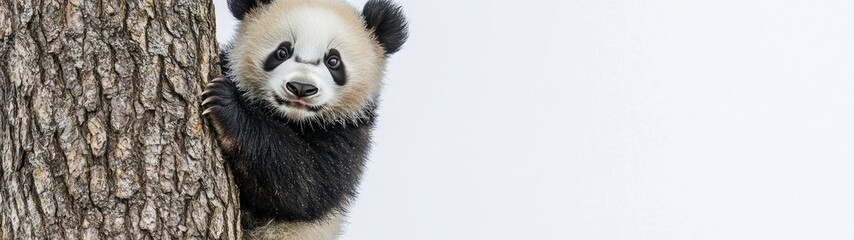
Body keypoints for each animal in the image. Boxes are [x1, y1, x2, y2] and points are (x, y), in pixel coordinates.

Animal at [204, 0, 412, 238]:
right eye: (282, 51)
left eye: (333, 61)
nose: (301, 88)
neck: (292, 118)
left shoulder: (349, 133)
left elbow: (303, 183)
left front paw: (226, 102)